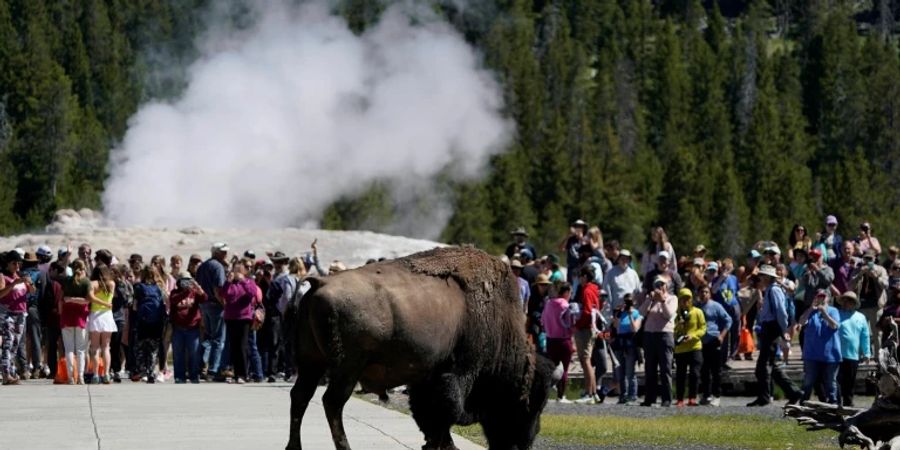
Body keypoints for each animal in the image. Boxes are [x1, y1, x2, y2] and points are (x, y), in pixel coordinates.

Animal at [284, 248, 560, 448]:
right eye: (533, 403)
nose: (526, 441)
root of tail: (320, 282)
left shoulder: (425, 380)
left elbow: (430, 418)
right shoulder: (458, 374)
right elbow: (446, 414)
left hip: (311, 363)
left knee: (300, 397)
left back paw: (294, 447)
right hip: (346, 369)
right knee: (331, 403)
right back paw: (344, 447)